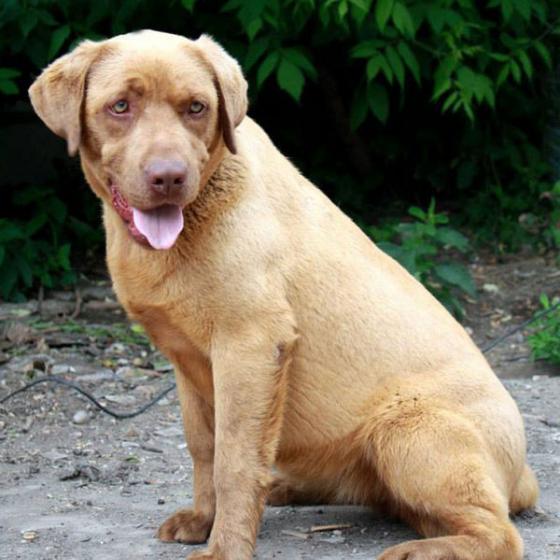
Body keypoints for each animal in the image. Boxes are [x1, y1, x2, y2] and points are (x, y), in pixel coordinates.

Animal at [29, 30, 538, 560]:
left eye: (196, 107)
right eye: (121, 106)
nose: (168, 177)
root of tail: (523, 476)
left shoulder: (250, 346)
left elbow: (234, 460)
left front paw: (225, 547)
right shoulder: (188, 364)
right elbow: (203, 448)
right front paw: (204, 520)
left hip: (408, 431)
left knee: (498, 532)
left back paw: (420, 549)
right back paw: (285, 491)